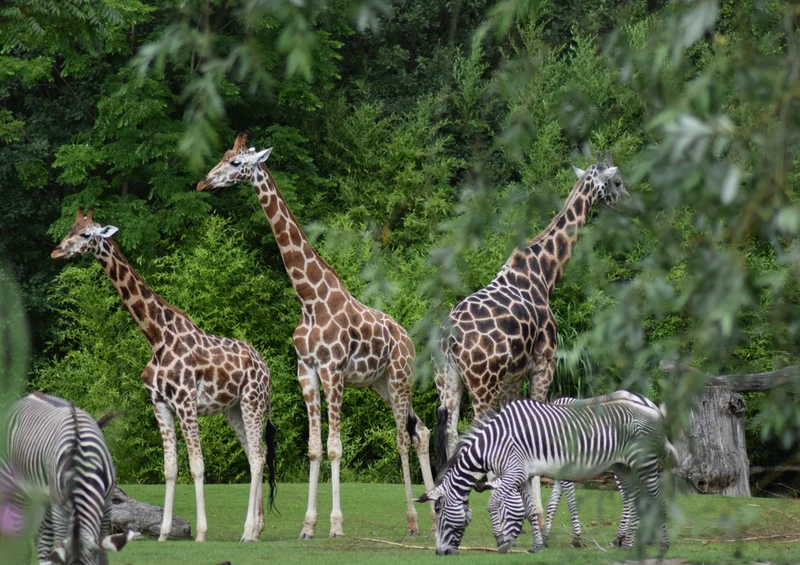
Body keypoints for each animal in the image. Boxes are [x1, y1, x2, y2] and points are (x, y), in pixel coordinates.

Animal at [51, 207, 277, 543]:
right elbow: (170, 468)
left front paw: (200, 533)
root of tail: (265, 367)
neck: (156, 338)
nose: (57, 251)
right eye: (70, 229)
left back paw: (249, 531)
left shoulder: (185, 402)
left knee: (259, 457)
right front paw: (164, 532)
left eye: (86, 234)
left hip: (253, 402)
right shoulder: (160, 404)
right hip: (233, 409)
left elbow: (197, 465)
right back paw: (257, 529)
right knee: (255, 454)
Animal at [197, 132, 436, 539]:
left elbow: (336, 446)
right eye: (223, 156)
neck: (309, 298)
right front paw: (308, 526)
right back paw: (434, 514)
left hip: (400, 378)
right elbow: (314, 448)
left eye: (235, 163)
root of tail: (407, 339)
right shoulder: (306, 371)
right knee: (421, 430)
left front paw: (336, 525)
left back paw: (413, 521)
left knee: (404, 438)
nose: (204, 182)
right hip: (380, 384)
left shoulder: (333, 370)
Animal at [433, 150, 628, 526]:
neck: (545, 274)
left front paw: (522, 512)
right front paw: (533, 514)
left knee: (449, 429)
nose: (628, 200)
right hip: (482, 382)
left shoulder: (513, 376)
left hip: (448, 379)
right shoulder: (544, 364)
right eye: (617, 181)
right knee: (474, 432)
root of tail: (450, 339)